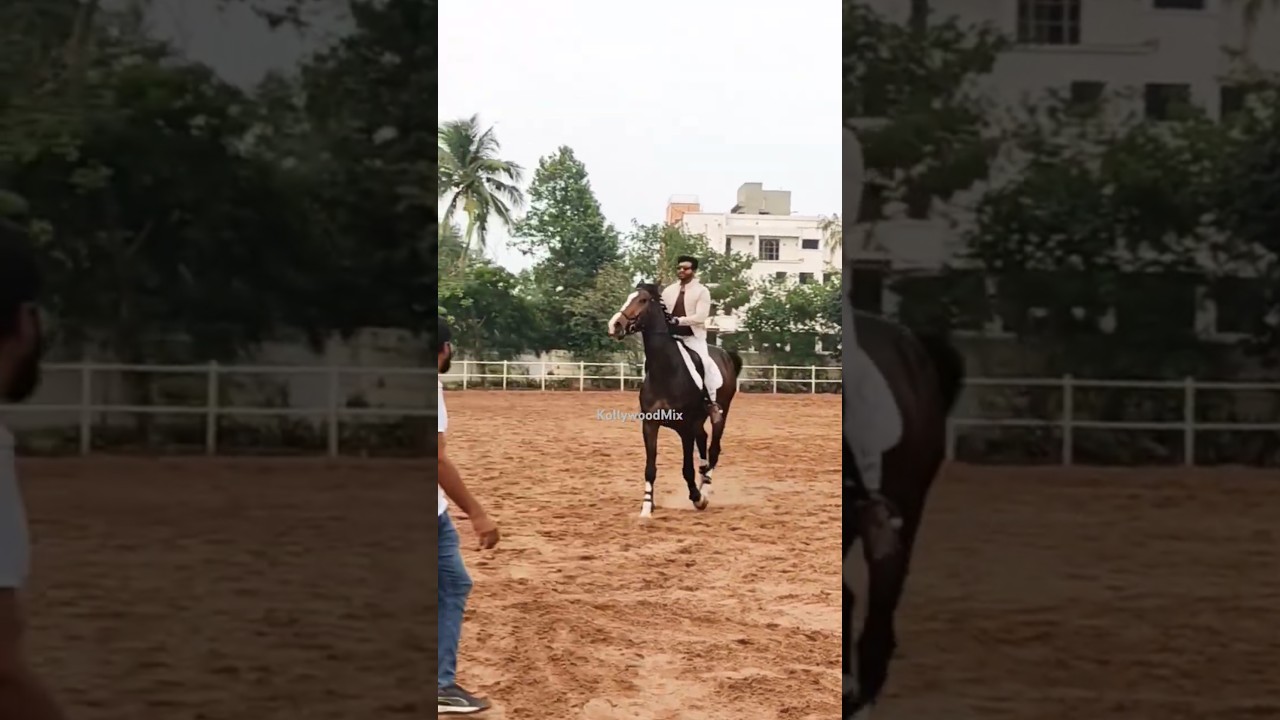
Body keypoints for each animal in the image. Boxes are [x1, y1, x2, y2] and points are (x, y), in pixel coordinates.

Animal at [607, 282, 743, 518]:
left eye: (642, 300)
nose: (615, 325)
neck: (666, 371)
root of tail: (725, 355)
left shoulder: (685, 428)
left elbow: (687, 467)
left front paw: (697, 497)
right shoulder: (650, 425)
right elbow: (650, 468)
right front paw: (647, 506)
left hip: (720, 414)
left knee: (713, 449)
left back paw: (705, 490)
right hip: (698, 421)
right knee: (703, 441)